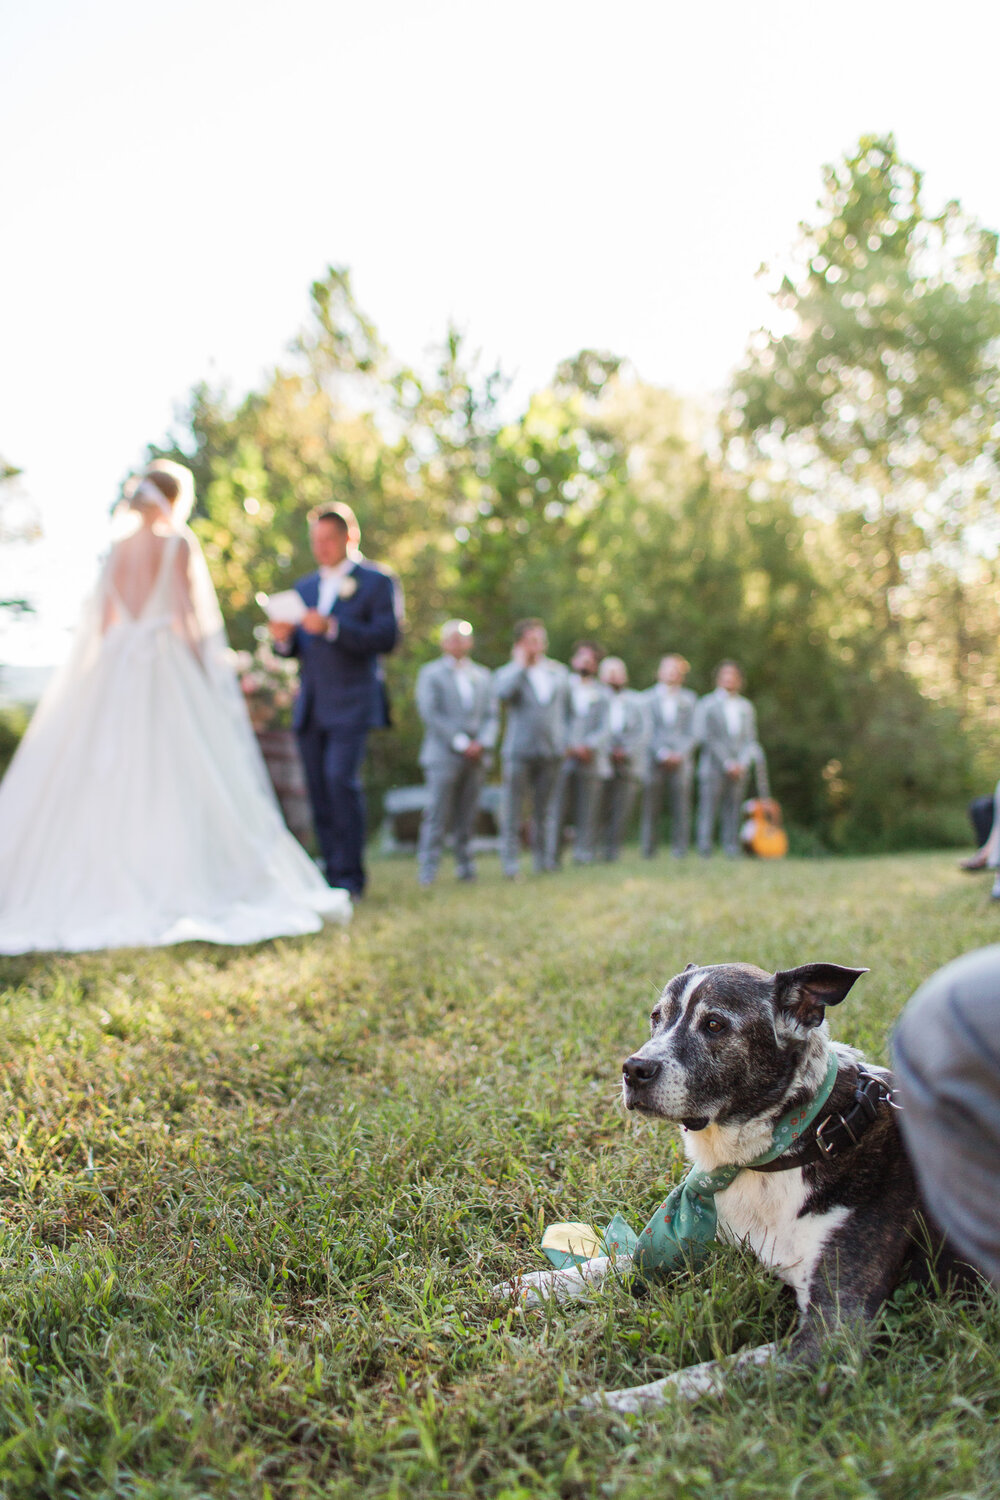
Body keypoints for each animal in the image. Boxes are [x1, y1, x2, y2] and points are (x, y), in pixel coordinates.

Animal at [497, 960, 971, 1404]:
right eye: (656, 1017)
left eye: (714, 1025)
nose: (634, 1069)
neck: (799, 1138)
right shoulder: (707, 1243)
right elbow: (619, 1261)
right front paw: (538, 1284)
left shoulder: (834, 1332)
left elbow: (704, 1373)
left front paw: (610, 1406)